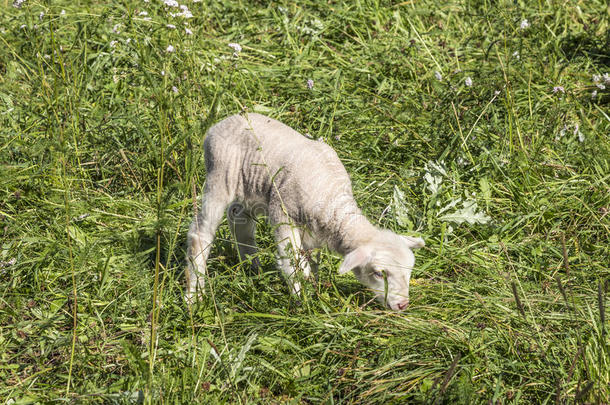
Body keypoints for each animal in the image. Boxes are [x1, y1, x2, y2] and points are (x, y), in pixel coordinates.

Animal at [185, 112, 422, 310]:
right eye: (379, 273)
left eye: (409, 270)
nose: (403, 305)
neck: (332, 199)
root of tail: (221, 123)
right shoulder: (283, 214)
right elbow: (292, 263)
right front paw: (302, 302)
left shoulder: (314, 232)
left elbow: (310, 263)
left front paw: (313, 287)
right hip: (220, 175)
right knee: (200, 233)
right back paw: (194, 296)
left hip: (252, 187)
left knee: (238, 218)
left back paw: (253, 268)